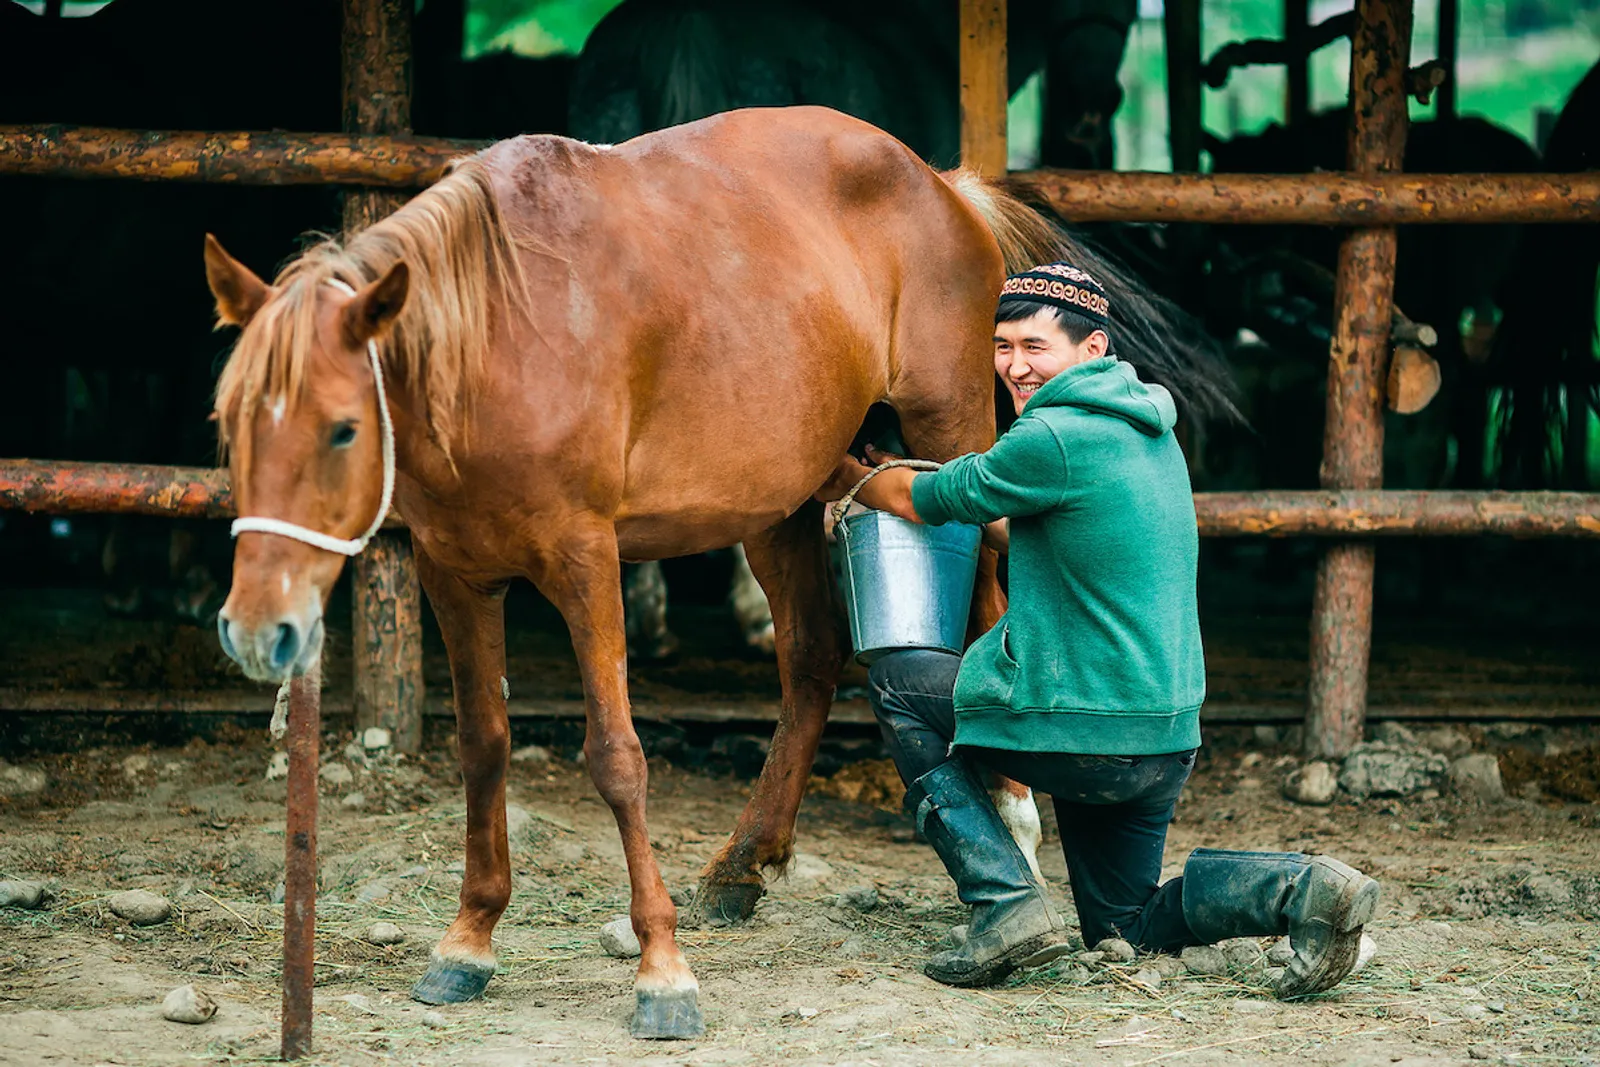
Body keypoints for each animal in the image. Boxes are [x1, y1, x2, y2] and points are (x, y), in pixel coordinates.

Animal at [200, 103, 1222, 1036]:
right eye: (229, 420)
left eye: (343, 428)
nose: (256, 631)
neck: (503, 333)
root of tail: (943, 183)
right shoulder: (455, 573)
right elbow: (483, 747)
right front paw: (469, 940)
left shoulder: (585, 559)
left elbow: (617, 758)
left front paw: (662, 974)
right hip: (776, 501)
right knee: (810, 661)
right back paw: (744, 863)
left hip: (950, 428)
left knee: (983, 598)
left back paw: (1010, 823)